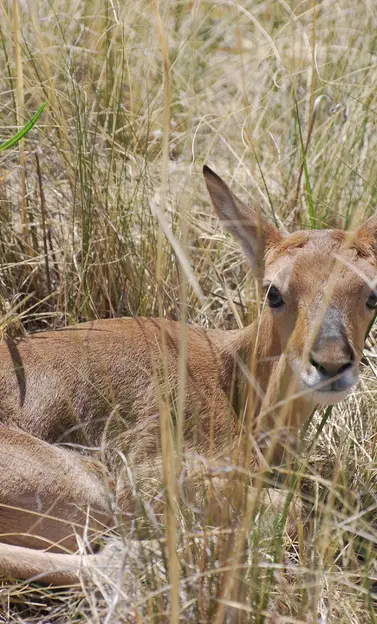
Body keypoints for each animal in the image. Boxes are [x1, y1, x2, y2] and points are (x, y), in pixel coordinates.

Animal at [0, 165, 376, 584]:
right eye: (273, 291)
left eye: (372, 295)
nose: (331, 364)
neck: (234, 379)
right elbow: (291, 507)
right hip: (88, 491)